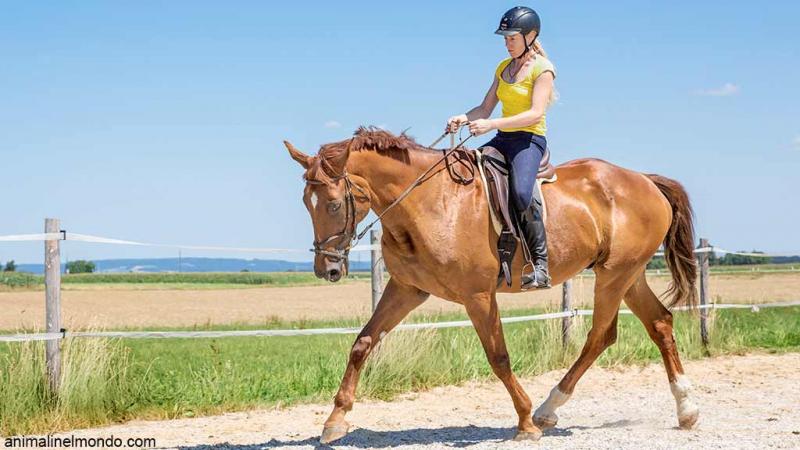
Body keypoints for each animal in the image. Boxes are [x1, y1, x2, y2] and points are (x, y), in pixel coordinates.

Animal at [285, 126, 700, 444]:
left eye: (334, 204)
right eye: (306, 203)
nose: (327, 269)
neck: (428, 202)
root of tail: (645, 180)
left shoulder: (479, 295)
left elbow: (498, 357)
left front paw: (526, 423)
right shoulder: (406, 289)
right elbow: (363, 342)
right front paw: (335, 421)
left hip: (614, 275)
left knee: (601, 335)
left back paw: (547, 409)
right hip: (630, 274)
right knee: (659, 323)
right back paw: (687, 409)